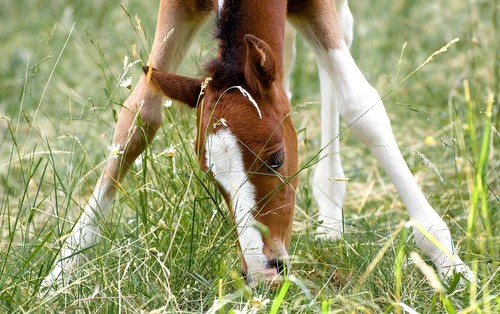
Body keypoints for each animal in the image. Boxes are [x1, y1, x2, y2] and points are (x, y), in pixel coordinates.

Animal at [42, 0, 472, 290]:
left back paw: (331, 208)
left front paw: (449, 262)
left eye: (277, 159)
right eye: (210, 176)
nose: (265, 273)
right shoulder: (178, 4)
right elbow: (138, 116)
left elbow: (361, 107)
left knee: (340, 37)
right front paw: (61, 270)